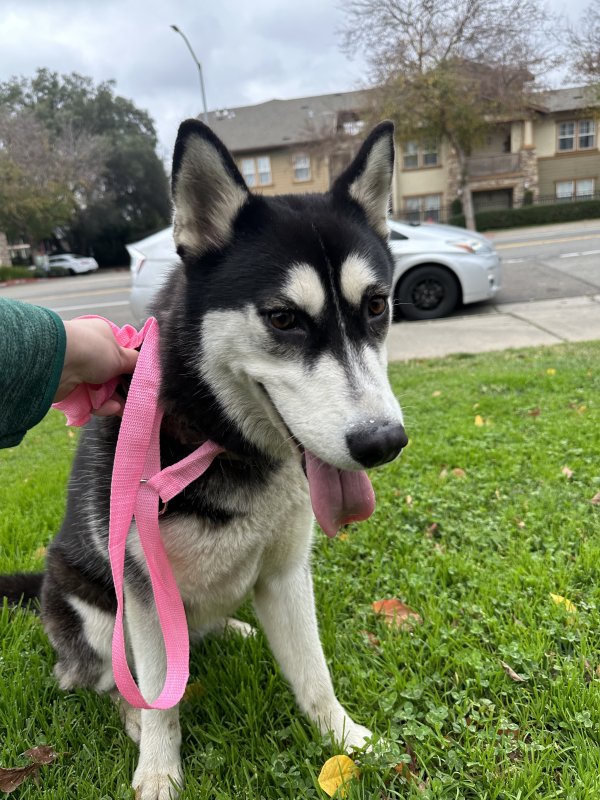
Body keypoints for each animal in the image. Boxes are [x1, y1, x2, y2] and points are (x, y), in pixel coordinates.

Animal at [0, 120, 408, 800]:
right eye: (283, 318)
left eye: (376, 306)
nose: (382, 442)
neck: (221, 441)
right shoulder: (143, 594)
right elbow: (162, 700)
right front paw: (159, 771)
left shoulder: (287, 573)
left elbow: (314, 674)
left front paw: (347, 740)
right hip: (92, 607)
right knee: (100, 678)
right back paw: (130, 712)